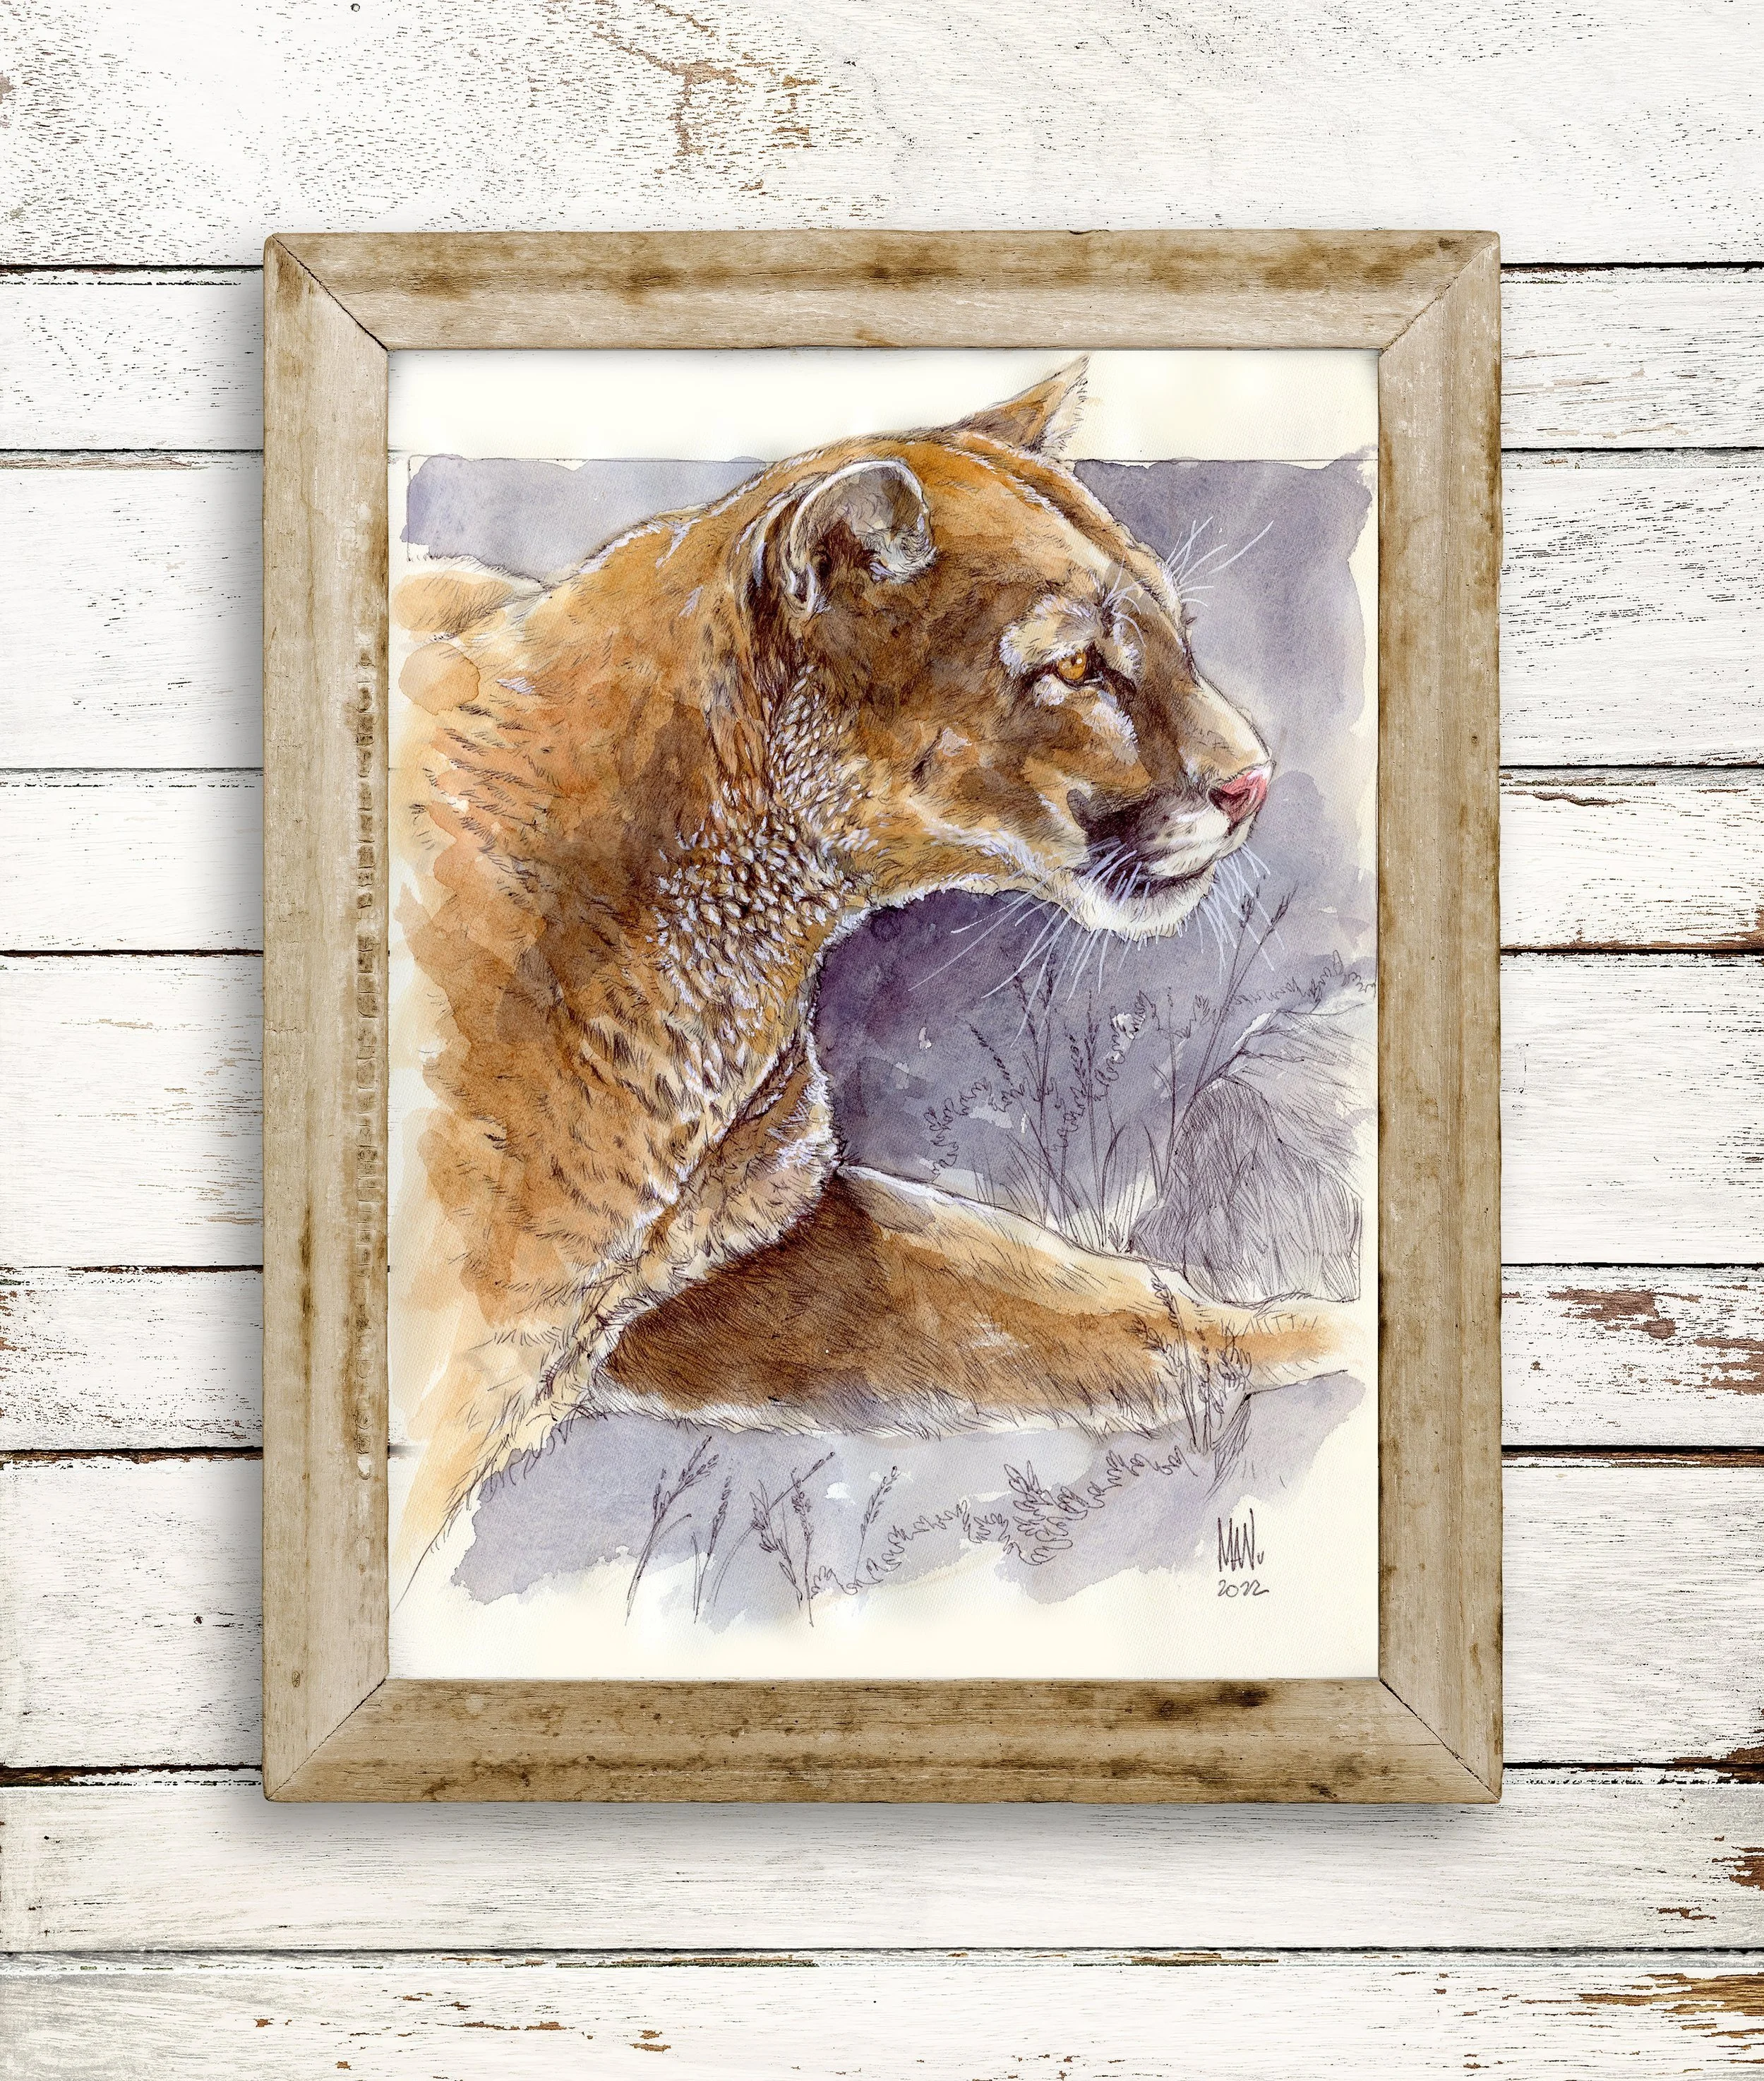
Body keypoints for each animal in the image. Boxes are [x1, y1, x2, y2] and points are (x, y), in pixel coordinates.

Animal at [388, 360, 1371, 1585]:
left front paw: (1338, 1335)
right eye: (1075, 666)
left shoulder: (763, 1257)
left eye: (1173, 632)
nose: (1249, 782)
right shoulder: (452, 1367)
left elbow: (1105, 1305)